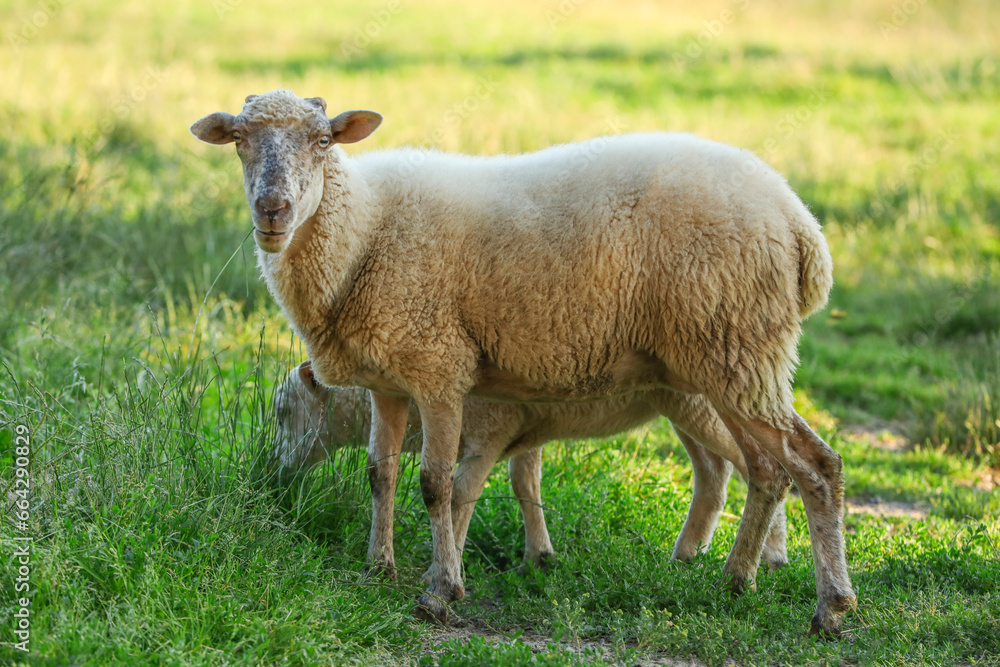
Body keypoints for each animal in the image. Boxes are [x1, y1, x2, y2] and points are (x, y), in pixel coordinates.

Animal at [270, 360, 792, 576]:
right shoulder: (521, 425)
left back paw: (769, 554)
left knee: (758, 463)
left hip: (704, 402)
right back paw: (689, 553)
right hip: (682, 404)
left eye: (281, 411)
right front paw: (540, 556)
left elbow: (464, 494)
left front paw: (445, 567)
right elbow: (525, 483)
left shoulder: (489, 428)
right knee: (716, 471)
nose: (273, 474)